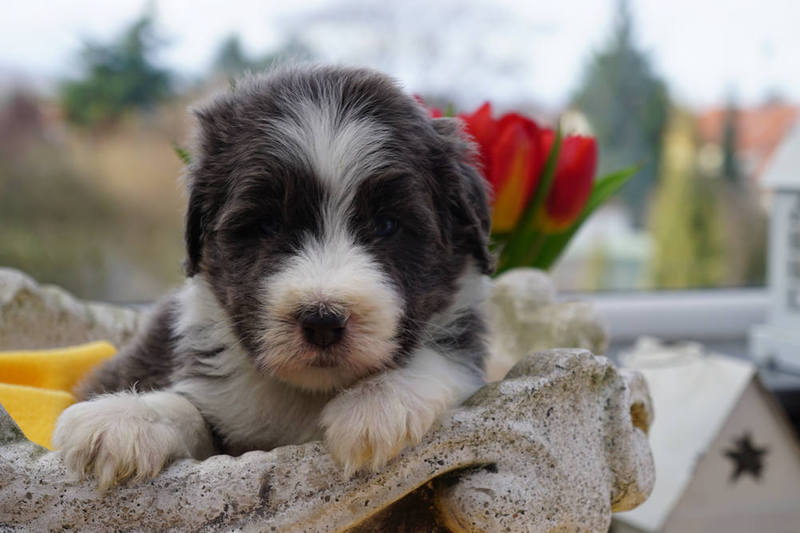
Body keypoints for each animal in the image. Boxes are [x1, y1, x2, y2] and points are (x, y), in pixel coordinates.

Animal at [53, 65, 494, 490]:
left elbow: (443, 358)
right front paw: (126, 417)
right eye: (265, 226)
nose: (322, 321)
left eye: (387, 225)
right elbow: (191, 408)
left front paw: (376, 404)